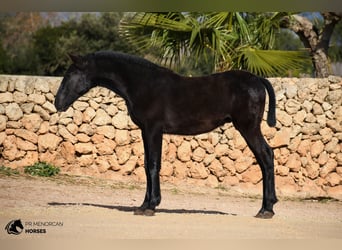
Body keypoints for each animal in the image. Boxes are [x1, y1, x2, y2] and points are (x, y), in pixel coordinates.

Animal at [54, 51, 278, 219]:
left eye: (69, 76)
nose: (58, 103)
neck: (143, 84)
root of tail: (258, 79)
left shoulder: (153, 129)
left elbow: (153, 165)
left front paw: (151, 206)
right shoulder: (146, 131)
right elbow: (147, 165)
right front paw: (145, 205)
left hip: (248, 128)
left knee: (266, 156)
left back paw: (266, 209)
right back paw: (268, 206)